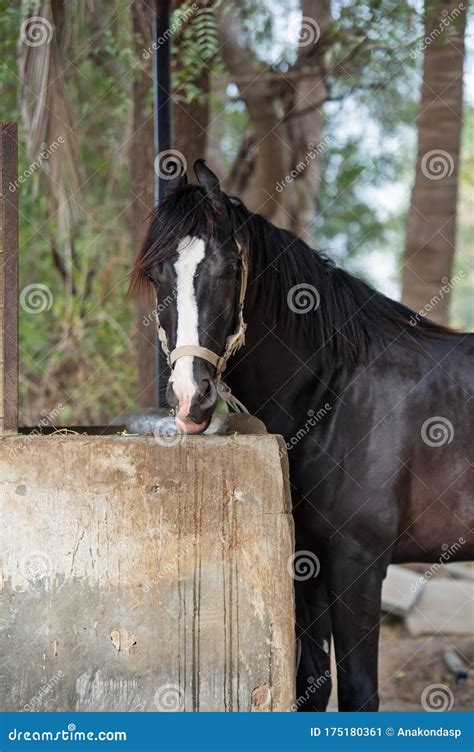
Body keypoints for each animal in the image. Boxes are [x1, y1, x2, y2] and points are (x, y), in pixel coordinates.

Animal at [130, 159, 473, 711]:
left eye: (229, 272)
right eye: (158, 276)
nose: (190, 401)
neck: (336, 393)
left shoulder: (358, 564)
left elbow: (358, 694)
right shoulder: (307, 561)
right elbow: (312, 683)